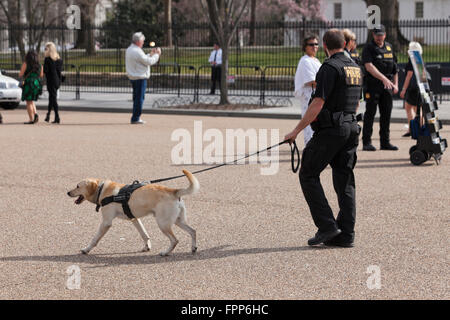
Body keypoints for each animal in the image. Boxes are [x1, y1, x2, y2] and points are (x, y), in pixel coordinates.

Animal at [67, 170, 199, 255]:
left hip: (163, 223)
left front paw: (86, 249)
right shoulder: (134, 219)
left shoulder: (106, 222)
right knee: (193, 231)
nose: (67, 192)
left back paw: (166, 252)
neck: (101, 190)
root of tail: (174, 191)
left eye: (77, 186)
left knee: (175, 240)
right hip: (177, 221)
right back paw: (193, 248)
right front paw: (147, 247)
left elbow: (95, 239)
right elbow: (144, 234)